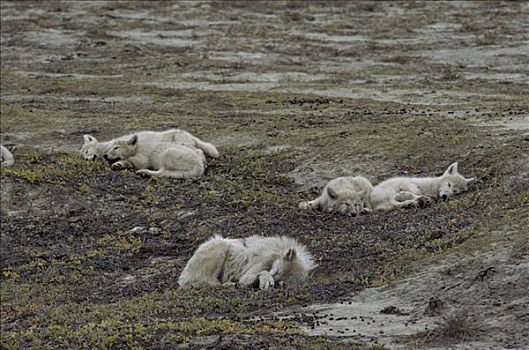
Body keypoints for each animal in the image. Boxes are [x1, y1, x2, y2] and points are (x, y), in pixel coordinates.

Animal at [177, 235, 318, 290]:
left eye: (281, 278)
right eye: (277, 271)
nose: (274, 279)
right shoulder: (259, 264)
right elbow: (258, 273)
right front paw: (266, 281)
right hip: (220, 246)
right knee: (206, 281)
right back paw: (229, 285)